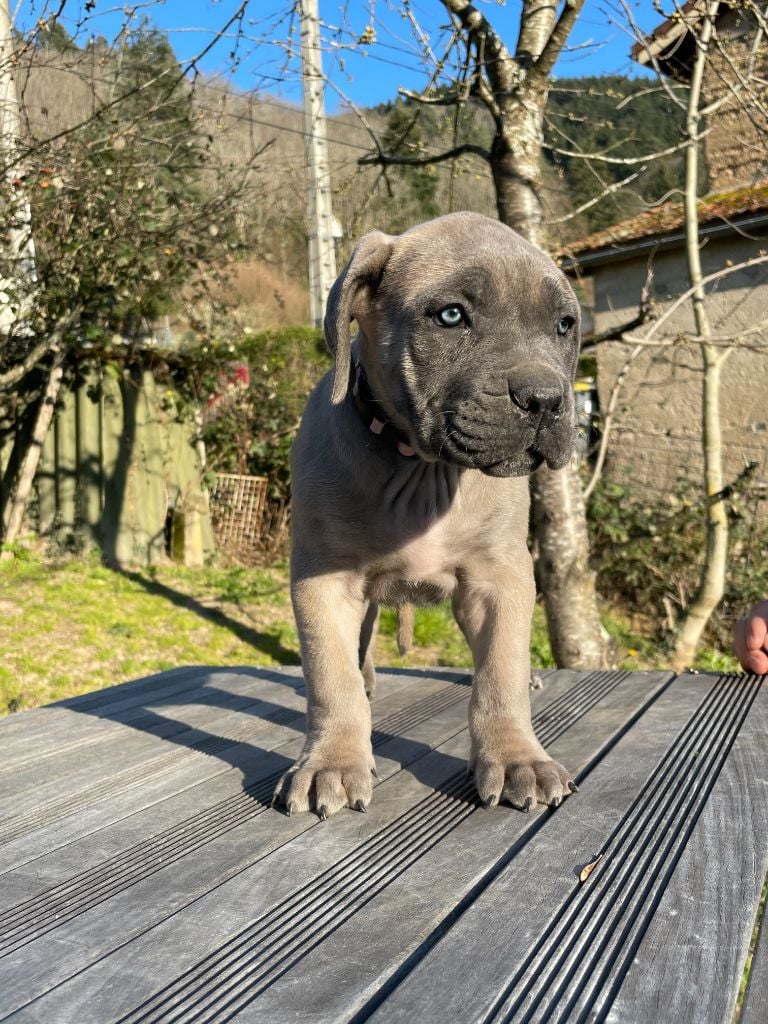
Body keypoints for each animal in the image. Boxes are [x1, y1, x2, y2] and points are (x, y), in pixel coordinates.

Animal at [274, 212, 580, 818]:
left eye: (564, 326)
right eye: (451, 316)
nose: (545, 399)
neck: (422, 470)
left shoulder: (500, 578)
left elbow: (499, 674)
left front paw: (517, 758)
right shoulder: (324, 580)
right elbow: (331, 676)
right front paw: (331, 763)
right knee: (361, 648)